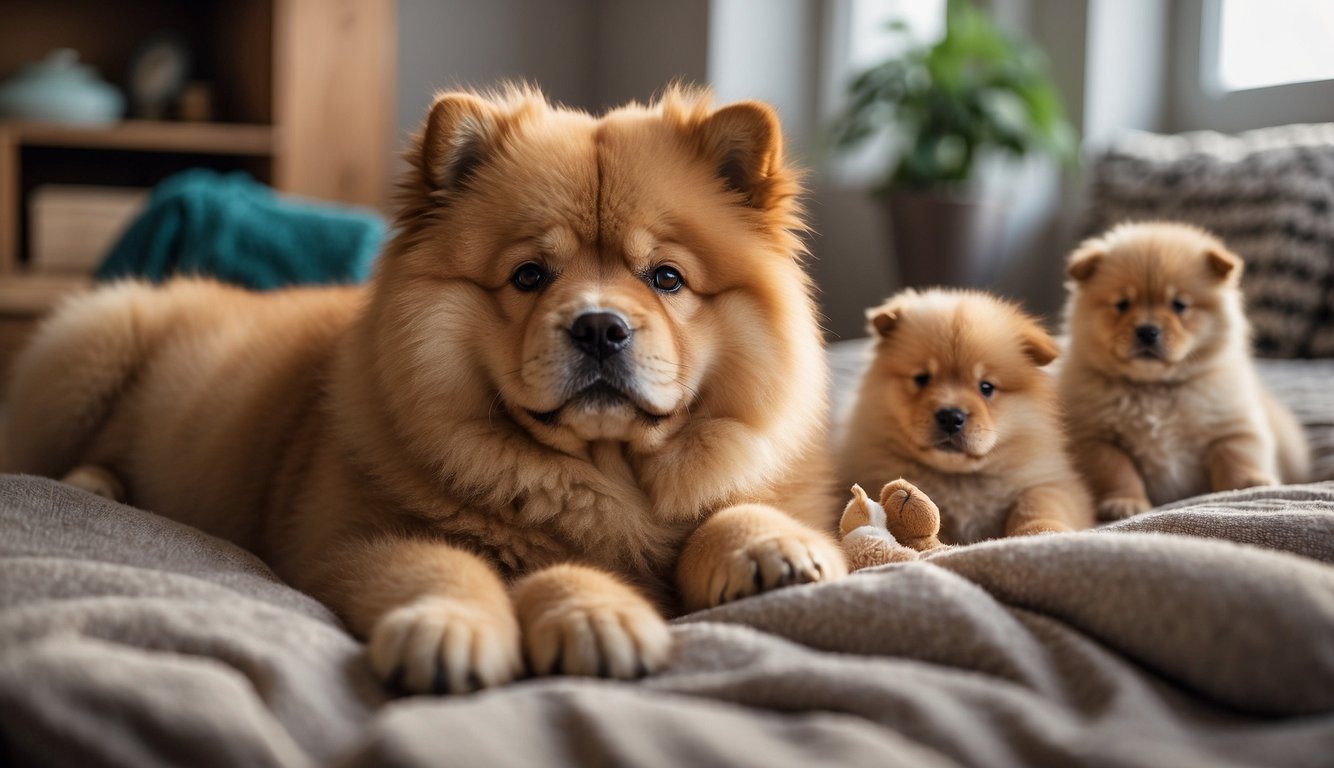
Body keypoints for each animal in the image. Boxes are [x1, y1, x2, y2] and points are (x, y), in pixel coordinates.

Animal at [5, 85, 843, 693]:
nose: (601, 327)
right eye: (529, 276)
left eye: (666, 278)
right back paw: (95, 486)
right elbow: (443, 566)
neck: (604, 476)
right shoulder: (349, 539)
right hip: (88, 348)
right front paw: (467, 631)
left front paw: (771, 547)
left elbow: (736, 509)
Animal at [843, 288, 1093, 546]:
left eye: (986, 387)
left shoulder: (1048, 482)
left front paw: (1042, 534)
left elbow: (1037, 505)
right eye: (922, 379)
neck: (959, 478)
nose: (951, 416)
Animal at [1056, 225, 1307, 520]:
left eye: (1179, 305)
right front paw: (1125, 502)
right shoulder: (1096, 439)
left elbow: (1236, 456)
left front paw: (1249, 483)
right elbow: (1118, 471)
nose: (1147, 331)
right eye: (1122, 304)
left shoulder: (1233, 425)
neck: (1155, 390)